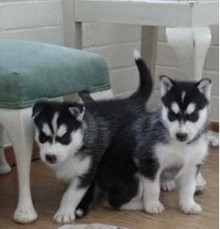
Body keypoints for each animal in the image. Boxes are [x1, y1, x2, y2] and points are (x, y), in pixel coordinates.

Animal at [31, 50, 153, 224]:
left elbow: (71, 194)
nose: (50, 157)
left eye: (65, 138)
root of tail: (131, 101)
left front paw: (65, 212)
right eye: (43, 137)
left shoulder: (87, 171)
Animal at [80, 74, 211, 214]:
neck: (181, 145)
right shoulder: (149, 161)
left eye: (193, 116)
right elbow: (153, 188)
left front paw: (188, 204)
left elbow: (189, 188)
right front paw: (152, 205)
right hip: (131, 178)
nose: (181, 135)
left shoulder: (192, 165)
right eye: (172, 115)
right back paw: (140, 205)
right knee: (113, 202)